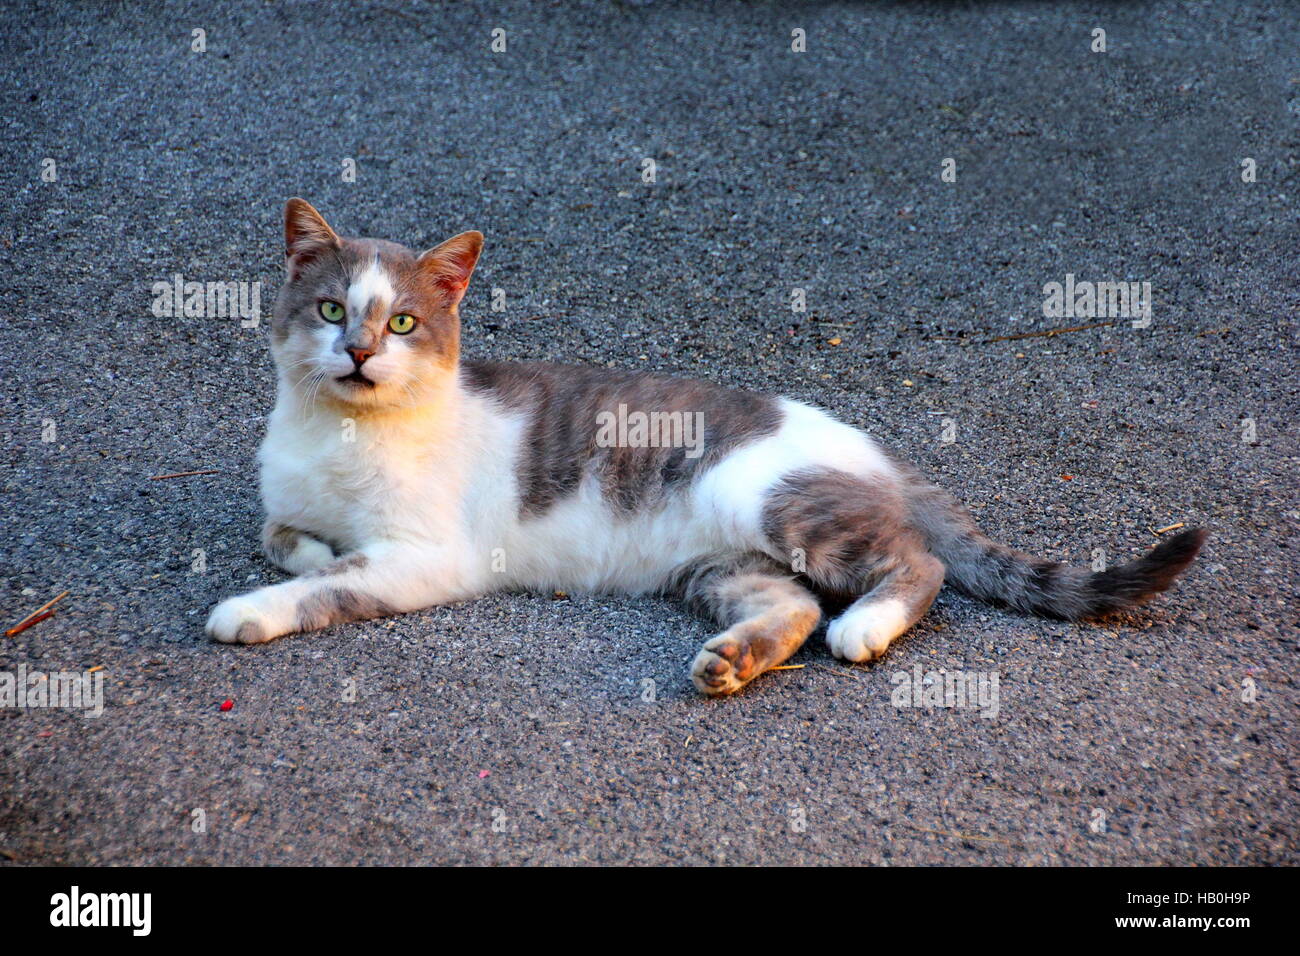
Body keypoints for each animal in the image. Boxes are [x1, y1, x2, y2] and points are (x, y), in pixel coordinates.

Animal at [205, 200, 1206, 697]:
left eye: (404, 322)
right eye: (331, 310)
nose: (360, 352)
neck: (341, 438)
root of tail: (875, 449)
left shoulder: (425, 556)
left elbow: (332, 582)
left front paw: (252, 607)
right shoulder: (290, 503)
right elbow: (281, 534)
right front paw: (303, 548)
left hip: (768, 501)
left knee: (913, 565)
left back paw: (864, 625)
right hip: (721, 568)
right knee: (789, 604)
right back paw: (738, 659)